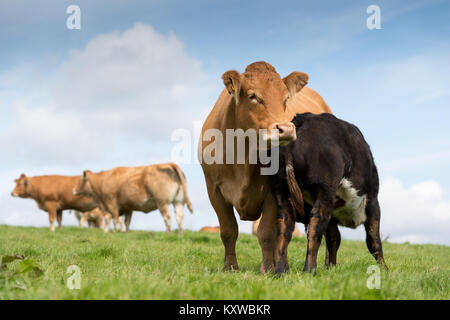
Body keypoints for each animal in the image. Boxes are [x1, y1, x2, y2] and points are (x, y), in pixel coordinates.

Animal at [268, 113, 388, 276]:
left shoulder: (332, 217)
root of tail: (302, 120)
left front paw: (331, 267)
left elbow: (333, 239)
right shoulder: (372, 202)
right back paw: (309, 270)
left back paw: (281, 272)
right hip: (325, 192)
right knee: (315, 228)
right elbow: (374, 241)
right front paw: (385, 269)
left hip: (281, 191)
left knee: (284, 227)